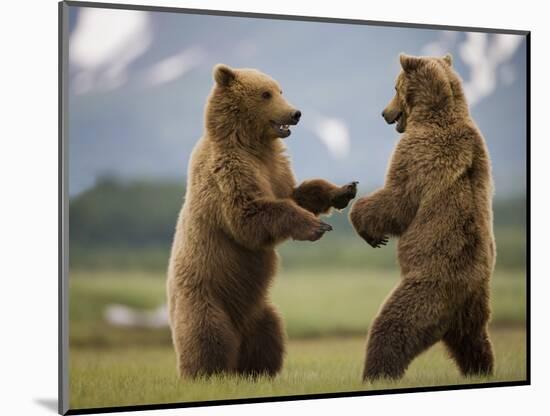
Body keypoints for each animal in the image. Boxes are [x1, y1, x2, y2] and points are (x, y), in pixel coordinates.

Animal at [168, 63, 358, 378]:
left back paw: (257, 371)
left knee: (270, 333)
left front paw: (343, 191)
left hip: (258, 309)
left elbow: (296, 193)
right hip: (204, 297)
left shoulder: (275, 168)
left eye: (280, 90)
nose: (295, 113)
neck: (250, 143)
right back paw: (208, 373)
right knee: (207, 336)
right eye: (265, 94)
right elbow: (250, 214)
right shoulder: (229, 172)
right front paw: (316, 226)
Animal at [352, 53, 498, 382]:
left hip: (429, 287)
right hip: (475, 305)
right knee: (474, 339)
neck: (434, 113)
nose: (384, 113)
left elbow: (398, 199)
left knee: (393, 326)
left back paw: (376, 373)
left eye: (394, 87)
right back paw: (480, 370)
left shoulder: (419, 153)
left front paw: (367, 227)